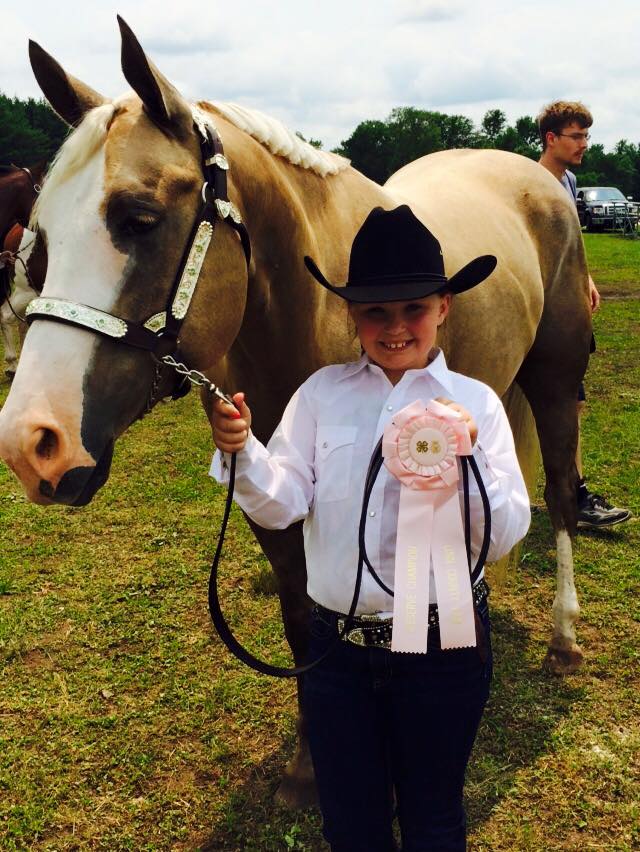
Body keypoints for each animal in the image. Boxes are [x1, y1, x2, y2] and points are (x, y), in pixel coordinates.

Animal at [0, 18, 591, 808]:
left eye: (138, 219)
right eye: (41, 239)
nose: (33, 442)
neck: (317, 308)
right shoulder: (278, 506)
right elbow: (303, 618)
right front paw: (313, 762)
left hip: (556, 381)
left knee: (558, 492)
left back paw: (564, 635)